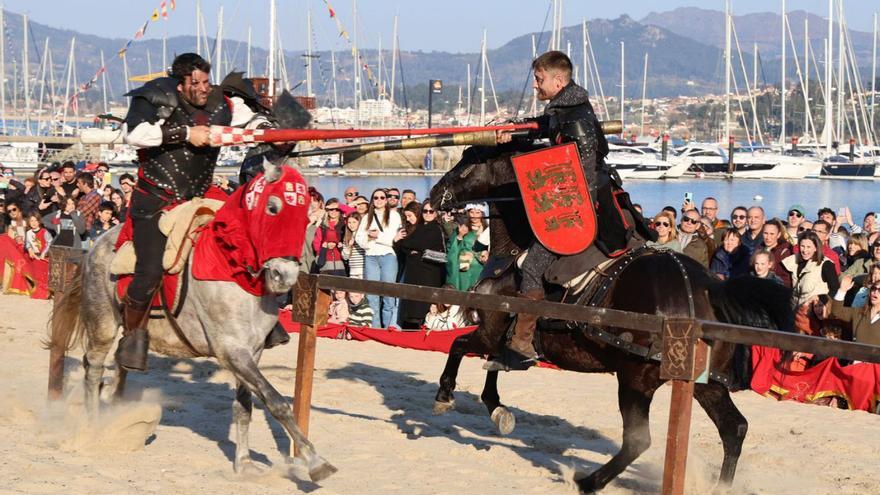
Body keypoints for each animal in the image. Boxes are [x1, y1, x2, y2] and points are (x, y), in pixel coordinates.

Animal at [49, 162, 336, 484]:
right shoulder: (231, 351)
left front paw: (244, 463)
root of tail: (96, 244)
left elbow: (244, 406)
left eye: (306, 215)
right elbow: (276, 402)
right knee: (94, 367)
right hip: (103, 323)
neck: (231, 268)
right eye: (273, 207)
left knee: (121, 362)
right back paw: (94, 427)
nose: (284, 276)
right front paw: (315, 460)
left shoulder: (251, 352)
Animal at [430, 146, 796, 492]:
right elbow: (495, 363)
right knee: (734, 428)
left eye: (466, 166)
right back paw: (720, 486)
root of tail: (706, 289)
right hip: (705, 383)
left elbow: (459, 345)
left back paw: (588, 482)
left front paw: (446, 395)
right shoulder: (500, 337)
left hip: (635, 377)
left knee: (638, 440)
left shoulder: (490, 329)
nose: (434, 194)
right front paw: (497, 410)